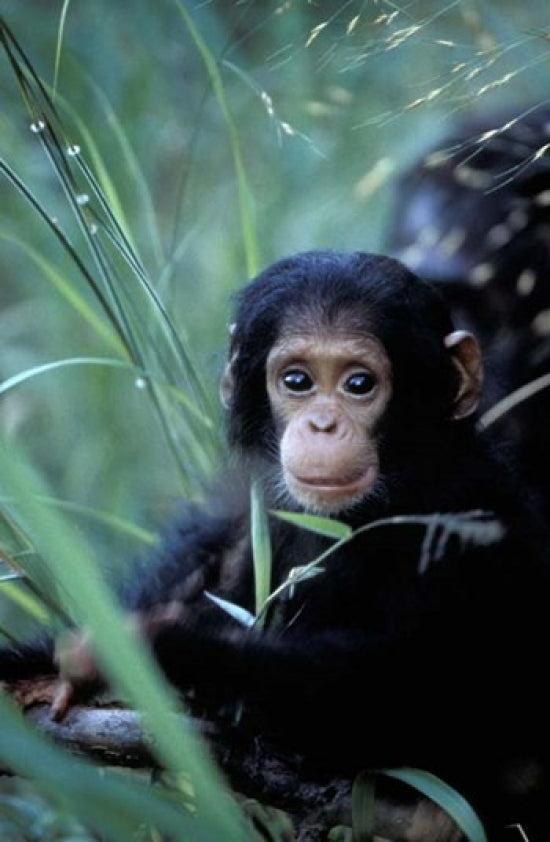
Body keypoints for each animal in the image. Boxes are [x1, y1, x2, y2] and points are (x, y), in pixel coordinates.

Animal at [2, 250, 550, 839]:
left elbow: (406, 679)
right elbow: (210, 559)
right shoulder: (252, 498)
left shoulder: (464, 515)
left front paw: (153, 648)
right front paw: (37, 670)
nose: (322, 423)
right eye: (297, 380)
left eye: (359, 383)